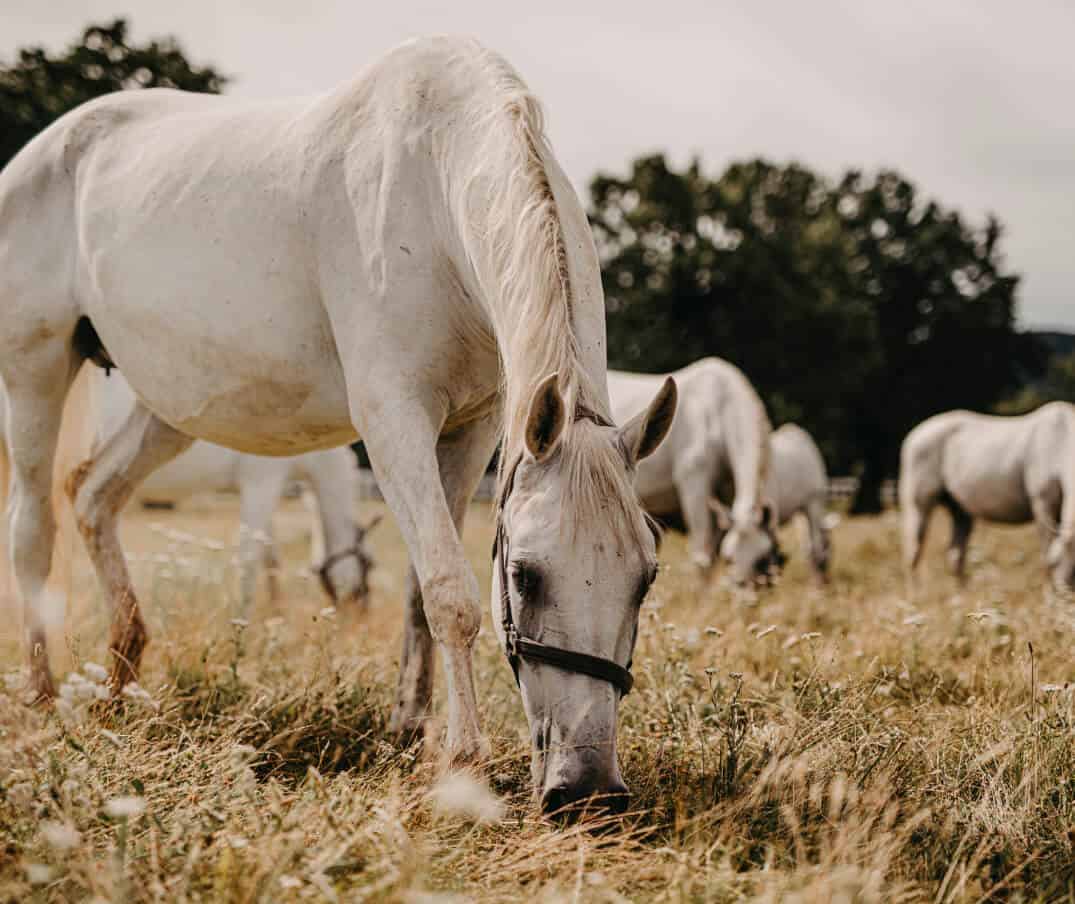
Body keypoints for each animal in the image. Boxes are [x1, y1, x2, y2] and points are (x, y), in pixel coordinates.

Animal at [0, 36, 676, 810]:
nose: (588, 788)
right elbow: (450, 592)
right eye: (525, 576)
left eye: (645, 577)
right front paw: (463, 763)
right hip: (34, 371)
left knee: (92, 496)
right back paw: (43, 695)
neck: (436, 185)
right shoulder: (392, 416)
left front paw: (410, 732)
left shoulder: (471, 428)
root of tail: (37, 157)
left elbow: (418, 589)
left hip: (168, 409)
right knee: (33, 527)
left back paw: (121, 681)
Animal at [608, 358, 772, 585]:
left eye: (763, 559)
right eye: (730, 558)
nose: (743, 589)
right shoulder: (693, 485)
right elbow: (702, 557)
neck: (720, 411)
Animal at [757, 423, 835, 583]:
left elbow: (806, 546)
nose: (827, 580)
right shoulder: (812, 504)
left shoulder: (799, 511)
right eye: (830, 545)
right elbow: (814, 546)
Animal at [899, 402, 1075, 589]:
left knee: (956, 553)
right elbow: (1047, 548)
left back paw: (961, 592)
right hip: (918, 503)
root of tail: (912, 435)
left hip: (959, 508)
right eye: (1057, 562)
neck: (1061, 439)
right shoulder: (1042, 502)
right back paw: (915, 592)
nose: (1064, 591)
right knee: (914, 551)